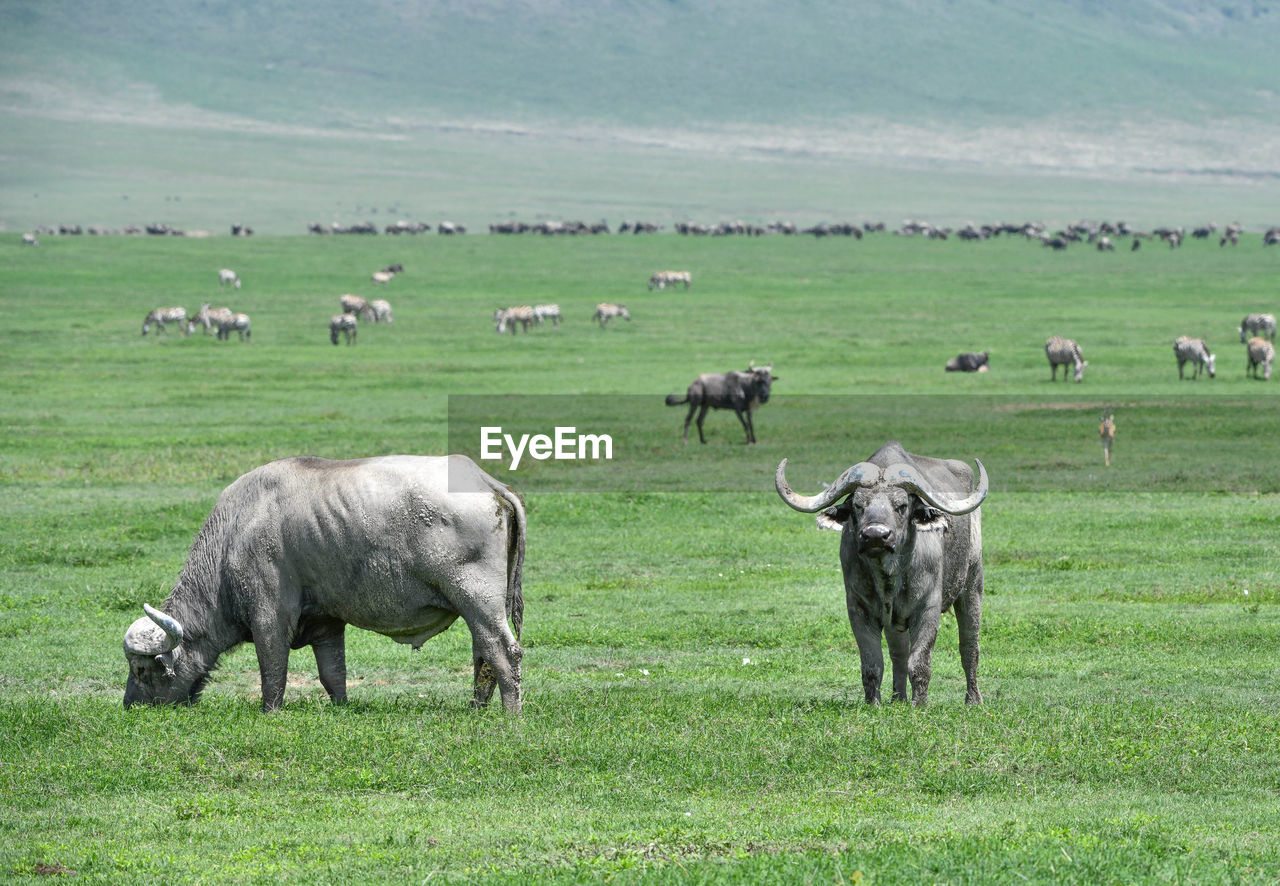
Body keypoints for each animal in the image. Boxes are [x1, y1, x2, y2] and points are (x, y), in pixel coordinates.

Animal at [122, 455, 527, 711]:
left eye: (141, 670)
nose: (129, 707)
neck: (234, 532)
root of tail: (486, 482)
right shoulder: (327, 623)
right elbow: (333, 674)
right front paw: (342, 708)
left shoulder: (269, 616)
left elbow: (273, 669)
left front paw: (270, 712)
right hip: (487, 606)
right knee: (482, 654)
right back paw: (475, 708)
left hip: (477, 600)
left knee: (504, 652)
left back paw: (511, 717)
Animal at [768, 443, 988, 706]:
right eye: (857, 505)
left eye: (901, 506)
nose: (875, 535)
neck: (889, 575)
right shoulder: (858, 609)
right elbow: (873, 663)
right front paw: (874, 703)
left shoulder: (928, 608)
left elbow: (920, 662)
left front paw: (920, 705)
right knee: (898, 653)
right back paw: (898, 698)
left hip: (972, 582)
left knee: (969, 645)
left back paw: (973, 699)